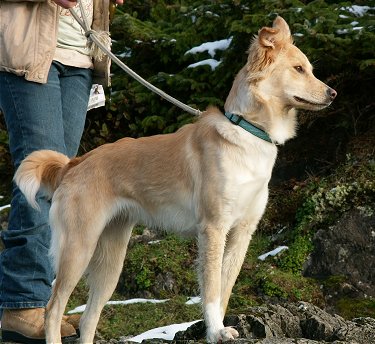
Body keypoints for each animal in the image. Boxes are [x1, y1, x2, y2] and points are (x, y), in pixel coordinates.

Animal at [15, 16, 338, 344]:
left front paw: (217, 328)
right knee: (53, 309)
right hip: (78, 248)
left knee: (89, 318)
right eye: (299, 69)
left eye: (309, 68)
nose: (333, 94)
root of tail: (74, 164)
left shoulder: (242, 234)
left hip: (111, 260)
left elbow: (225, 289)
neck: (248, 132)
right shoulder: (213, 229)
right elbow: (211, 290)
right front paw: (215, 331)